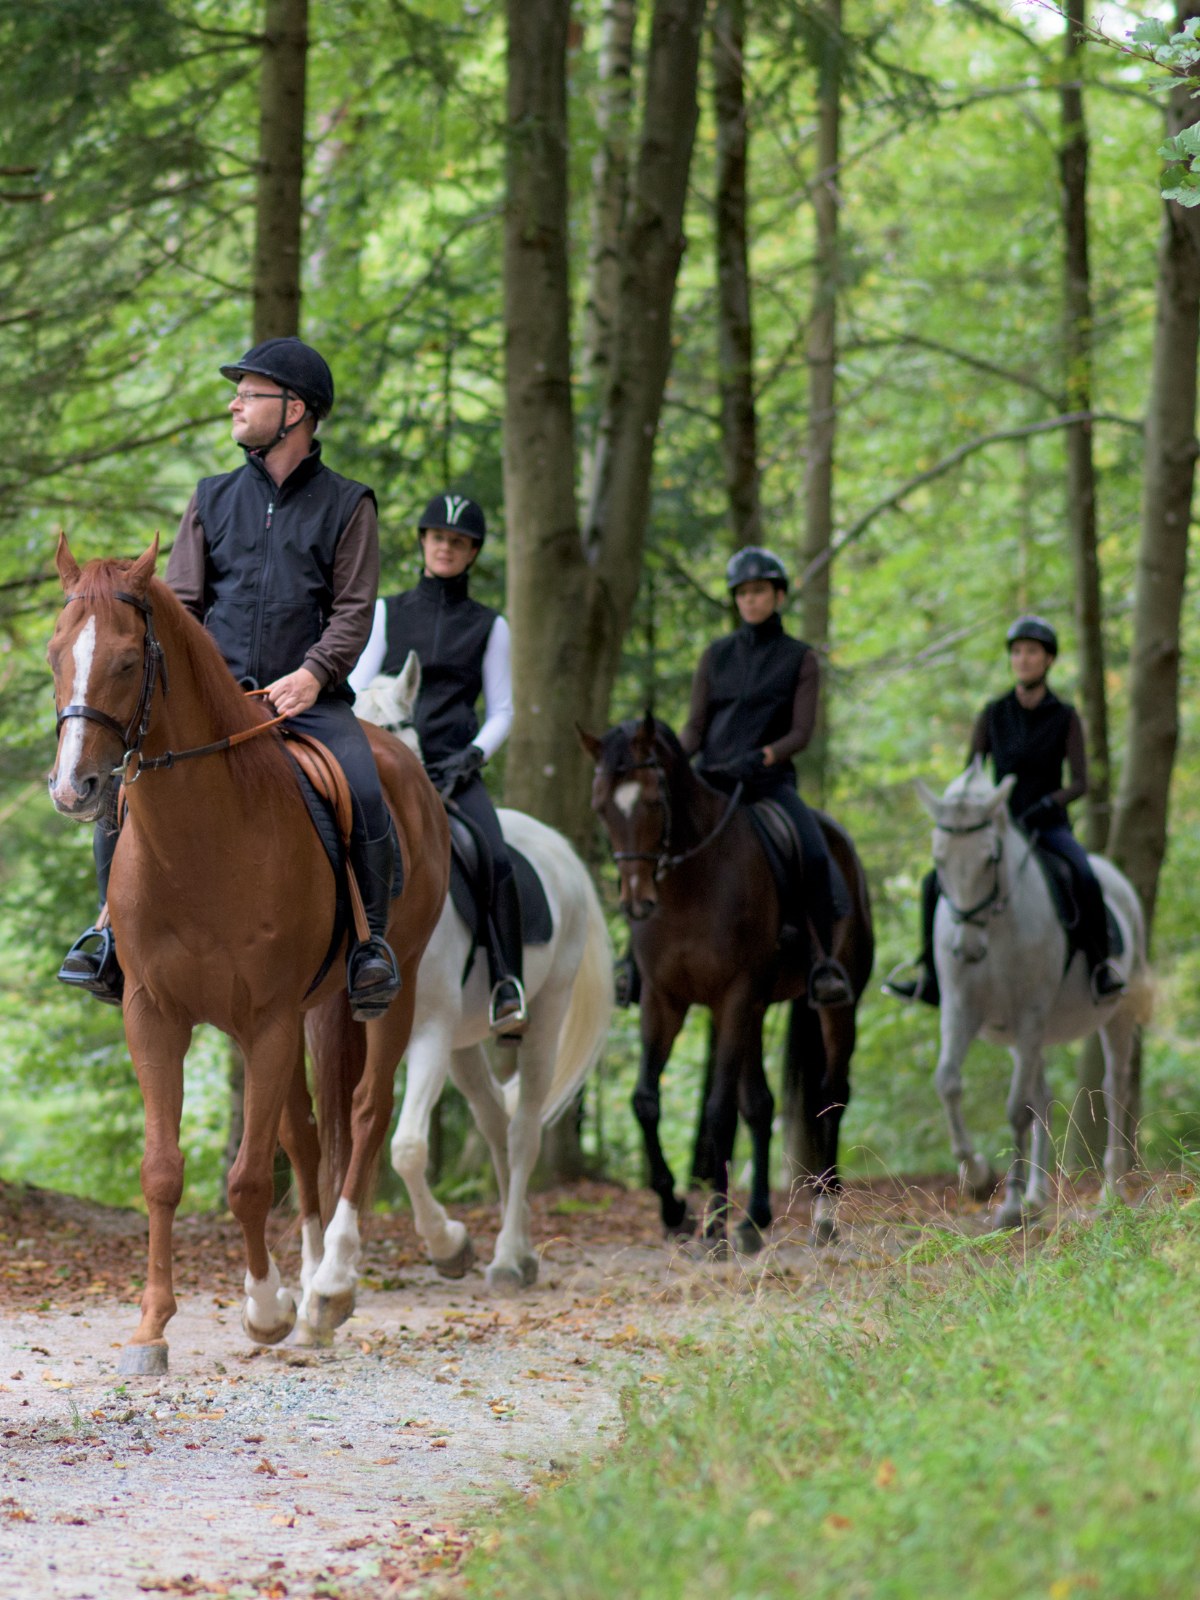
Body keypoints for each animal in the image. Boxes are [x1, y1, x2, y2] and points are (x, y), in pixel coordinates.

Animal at [46, 535, 447, 1368]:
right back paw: (310, 1285)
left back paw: (331, 1285)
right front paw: (151, 1328)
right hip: (305, 1014)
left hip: (387, 991)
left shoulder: (265, 1020)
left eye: (128, 661)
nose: (74, 789)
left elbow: (249, 1181)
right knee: (307, 1130)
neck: (201, 839)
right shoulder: (156, 1014)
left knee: (365, 1112)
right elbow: (164, 1172)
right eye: (55, 653)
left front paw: (265, 1310)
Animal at [347, 655, 613, 1294]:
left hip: (541, 1019)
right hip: (463, 1044)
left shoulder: (426, 1034)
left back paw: (509, 1258)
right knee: (494, 1121)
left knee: (522, 1132)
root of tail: (560, 850)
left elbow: (408, 1148)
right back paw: (522, 1249)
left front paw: (448, 1245)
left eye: (395, 731)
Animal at [579, 713, 874, 1251]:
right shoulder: (663, 1001)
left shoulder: (733, 996)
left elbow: (718, 1111)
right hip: (756, 1010)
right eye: (601, 808)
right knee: (760, 1104)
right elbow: (646, 1101)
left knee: (831, 1093)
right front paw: (675, 1209)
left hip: (834, 1006)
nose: (636, 903)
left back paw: (825, 1214)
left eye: (654, 800)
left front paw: (713, 1224)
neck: (689, 883)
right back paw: (754, 1219)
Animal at [915, 758, 1153, 1227]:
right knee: (1044, 1096)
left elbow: (1016, 1107)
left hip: (1110, 1015)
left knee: (1115, 1087)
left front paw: (1007, 1204)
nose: (968, 949)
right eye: (939, 859)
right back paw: (1037, 1197)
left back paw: (1110, 1191)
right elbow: (948, 1082)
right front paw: (978, 1176)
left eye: (990, 858)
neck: (995, 925)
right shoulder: (961, 1012)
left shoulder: (1030, 1013)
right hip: (1026, 1034)